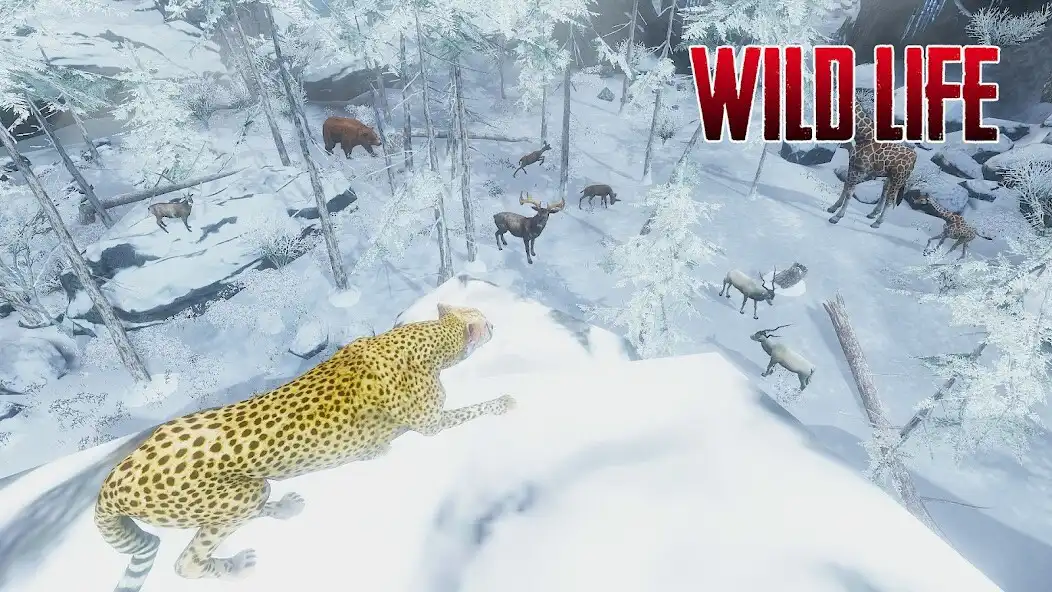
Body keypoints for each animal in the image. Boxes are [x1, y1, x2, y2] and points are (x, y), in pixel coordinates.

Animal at [93, 303, 513, 592]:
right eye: (484, 322)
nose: (494, 325)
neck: (429, 338)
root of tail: (112, 481)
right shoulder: (432, 424)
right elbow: (473, 410)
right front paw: (503, 403)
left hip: (245, 492)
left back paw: (284, 508)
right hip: (236, 496)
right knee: (187, 562)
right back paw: (235, 567)